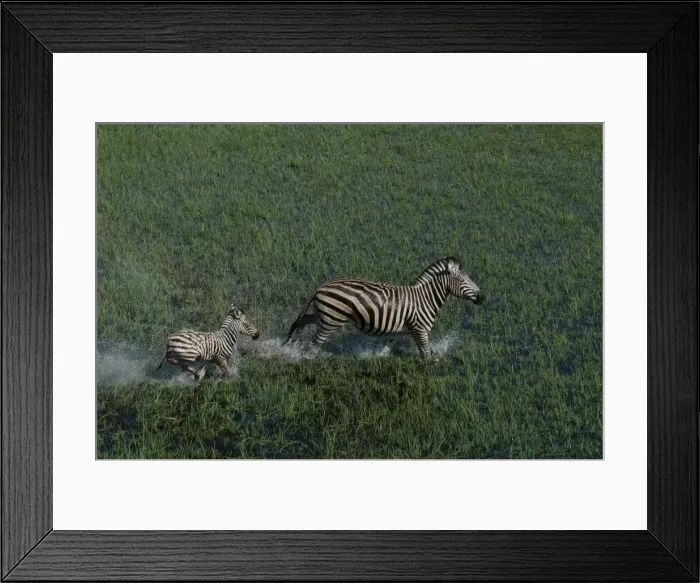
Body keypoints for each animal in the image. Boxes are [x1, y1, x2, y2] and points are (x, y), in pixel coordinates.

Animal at [282, 256, 483, 359]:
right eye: (462, 280)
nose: (482, 298)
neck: (425, 299)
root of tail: (320, 286)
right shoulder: (420, 330)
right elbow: (426, 355)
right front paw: (432, 367)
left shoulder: (396, 331)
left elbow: (383, 348)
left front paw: (375, 356)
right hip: (331, 320)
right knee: (314, 346)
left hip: (323, 315)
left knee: (303, 321)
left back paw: (293, 342)